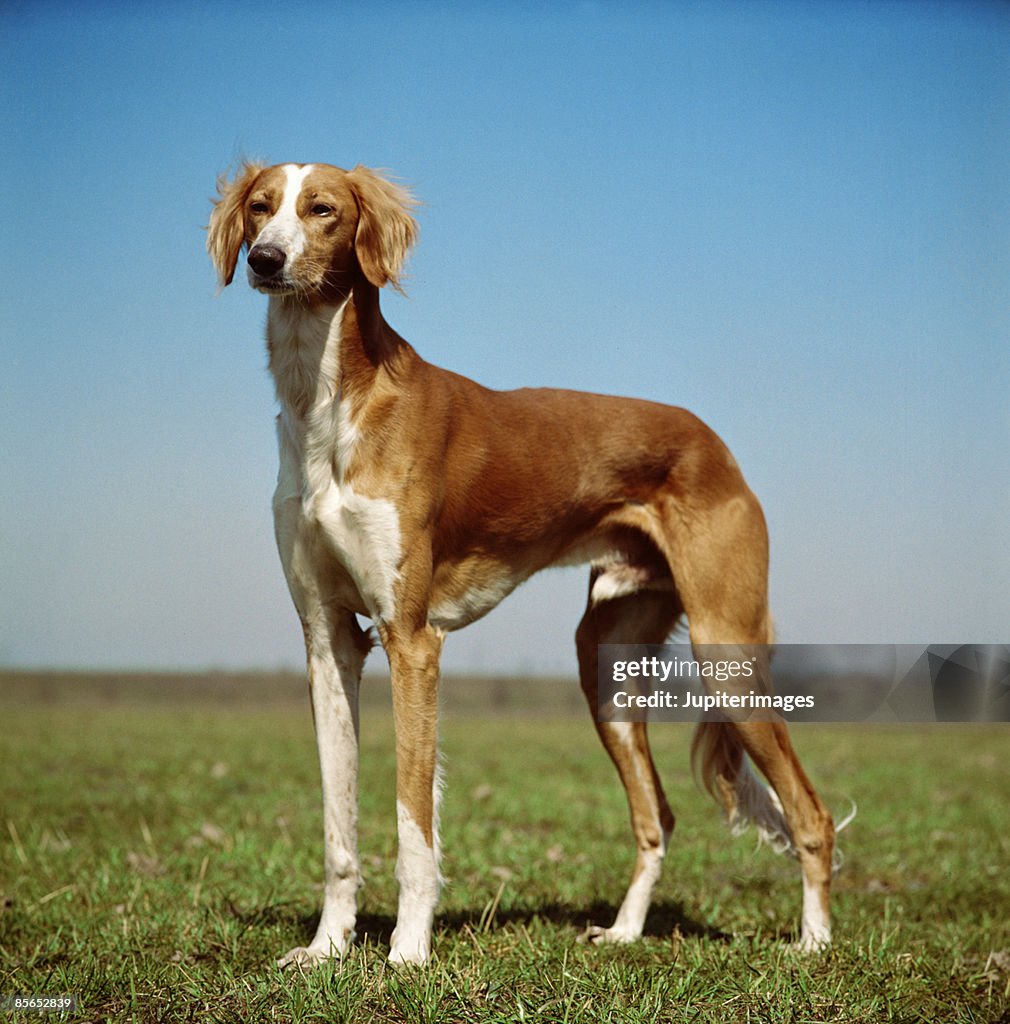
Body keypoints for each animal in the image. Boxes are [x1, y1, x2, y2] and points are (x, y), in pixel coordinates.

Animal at [204, 161, 835, 966]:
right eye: (260, 208)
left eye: (322, 210)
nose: (266, 261)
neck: (329, 403)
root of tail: (715, 443)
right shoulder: (329, 641)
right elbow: (337, 826)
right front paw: (326, 949)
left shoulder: (413, 641)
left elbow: (413, 822)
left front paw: (408, 952)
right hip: (604, 664)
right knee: (656, 815)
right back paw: (625, 932)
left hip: (724, 648)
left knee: (809, 813)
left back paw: (813, 945)